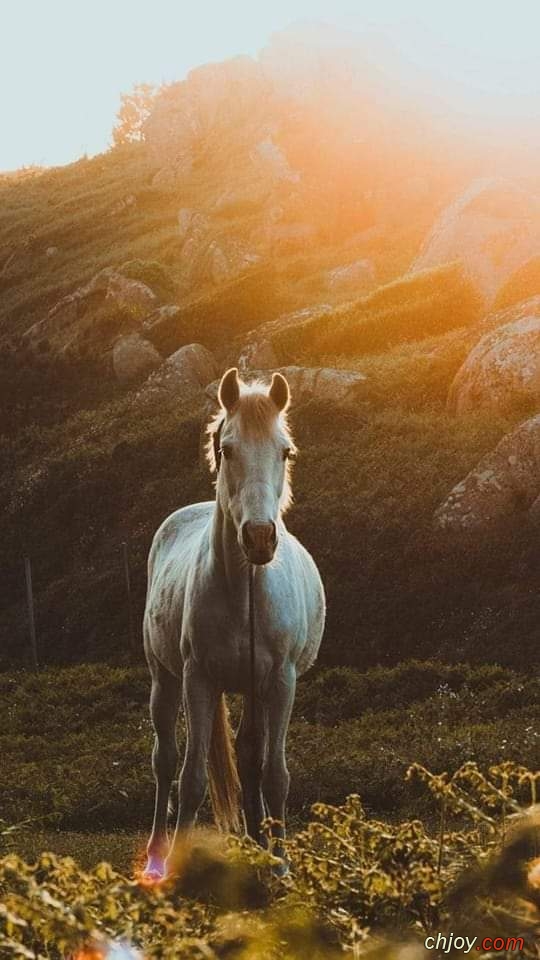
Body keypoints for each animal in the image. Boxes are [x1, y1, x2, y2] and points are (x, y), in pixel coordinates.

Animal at [142, 366, 324, 876]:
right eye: (227, 449)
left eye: (286, 451)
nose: (260, 538)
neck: (245, 592)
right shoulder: (198, 679)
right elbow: (191, 778)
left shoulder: (280, 682)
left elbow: (274, 775)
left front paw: (280, 866)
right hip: (164, 679)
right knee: (165, 761)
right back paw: (156, 856)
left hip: (253, 689)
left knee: (248, 759)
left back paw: (258, 846)